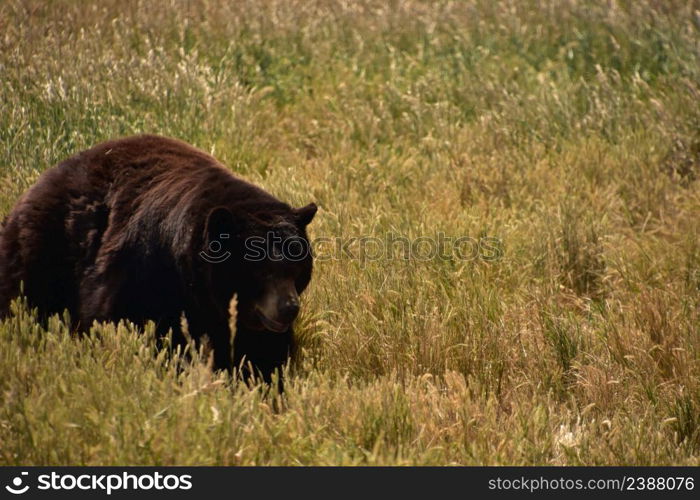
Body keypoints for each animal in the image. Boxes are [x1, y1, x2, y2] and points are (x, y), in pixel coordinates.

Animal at [0, 135, 318, 384]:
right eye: (260, 269)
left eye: (296, 268)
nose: (289, 308)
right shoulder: (141, 275)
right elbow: (115, 322)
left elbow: (262, 358)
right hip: (42, 253)